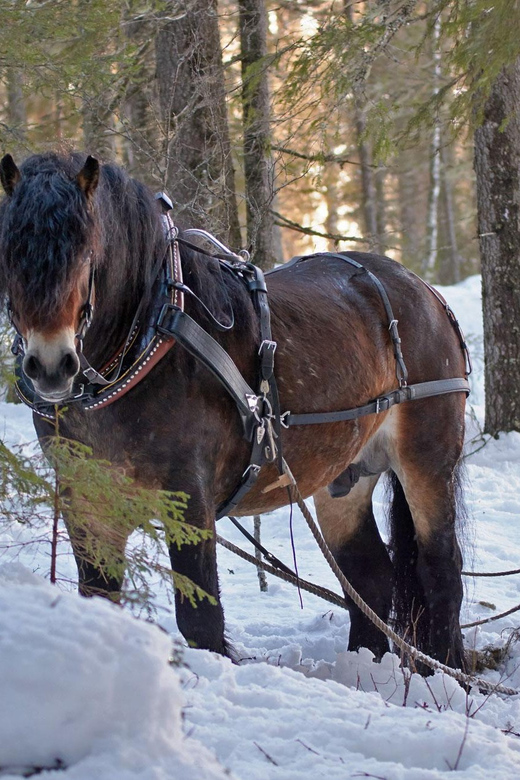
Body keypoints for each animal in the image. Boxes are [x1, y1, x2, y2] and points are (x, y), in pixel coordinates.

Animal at [0, 151, 470, 672]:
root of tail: (426, 292)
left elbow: (200, 620)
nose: (49, 366)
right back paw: (366, 668)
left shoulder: (188, 495)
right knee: (367, 575)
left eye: (86, 255)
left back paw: (448, 673)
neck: (149, 337)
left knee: (440, 570)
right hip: (345, 475)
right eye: (9, 255)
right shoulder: (87, 498)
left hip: (427, 458)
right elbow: (99, 598)